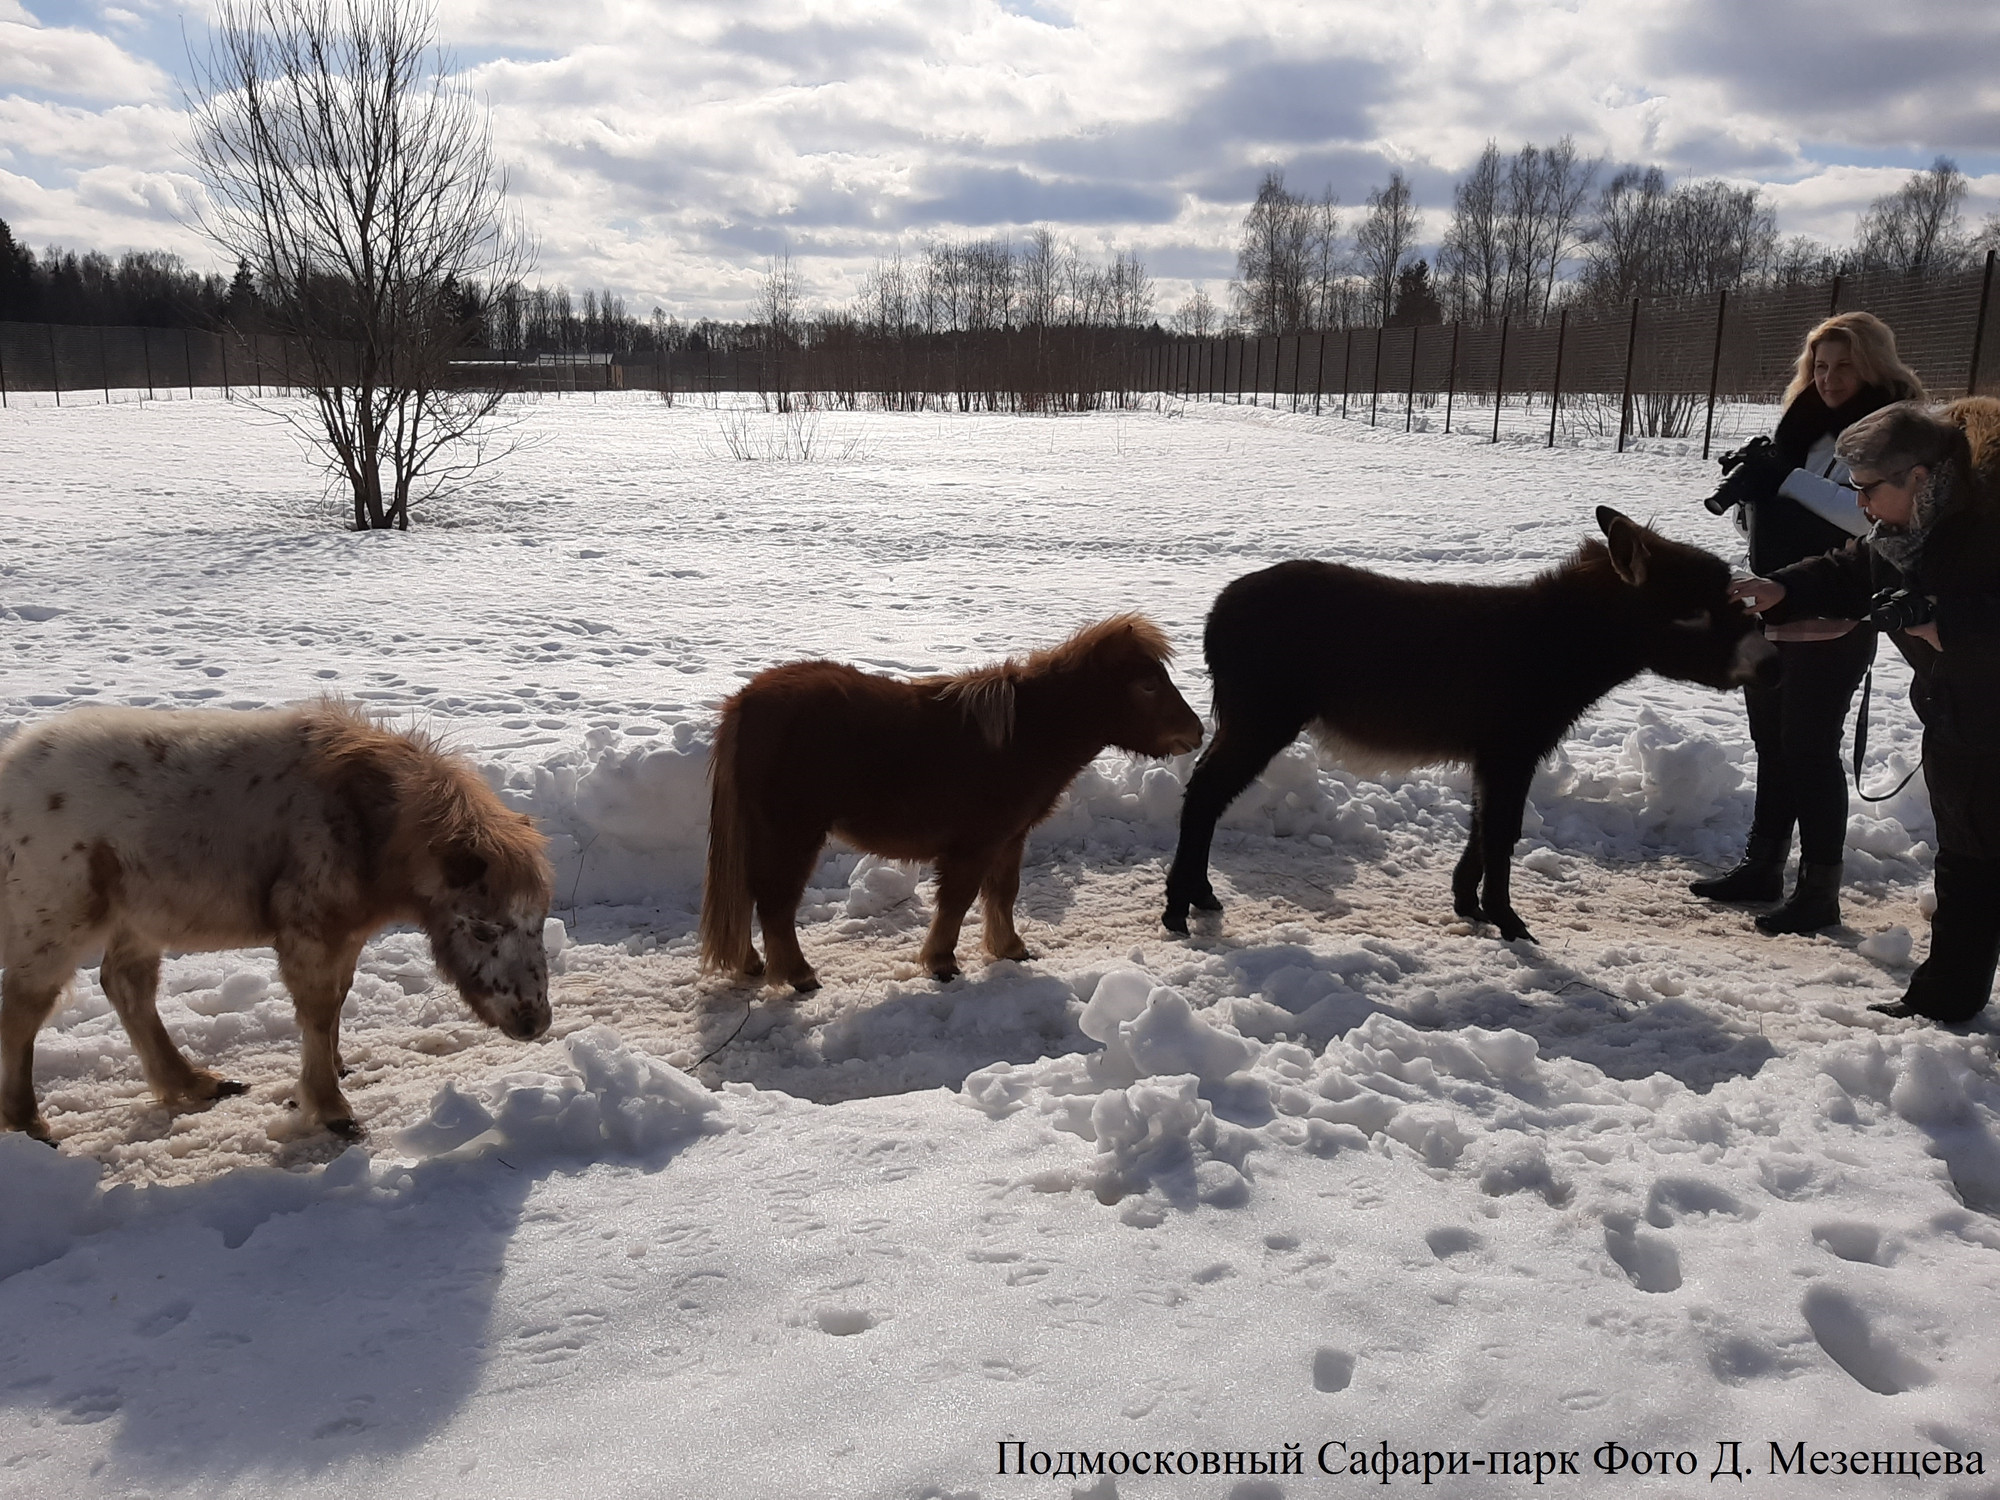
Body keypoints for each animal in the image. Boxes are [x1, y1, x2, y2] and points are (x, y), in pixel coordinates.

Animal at [0, 704, 552, 1136]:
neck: (364, 819)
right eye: (482, 927)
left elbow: (338, 998)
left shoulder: (346, 935)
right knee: (25, 1009)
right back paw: (29, 1123)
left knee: (126, 987)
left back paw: (198, 1084)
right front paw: (331, 1110)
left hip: (137, 920)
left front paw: (336, 1070)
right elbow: (317, 1011)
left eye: (538, 921)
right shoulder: (309, 933)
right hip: (55, 923)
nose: (534, 1022)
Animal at [704, 616, 1200, 992]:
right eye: (1148, 684)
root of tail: (746, 702)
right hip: (793, 834)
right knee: (775, 901)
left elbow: (1002, 893)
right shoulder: (974, 846)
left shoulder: (1009, 839)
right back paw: (799, 975)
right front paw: (942, 962)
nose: (1195, 732)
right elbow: (957, 901)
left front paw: (1010, 949)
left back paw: (752, 964)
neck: (1024, 735)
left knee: (749, 894)